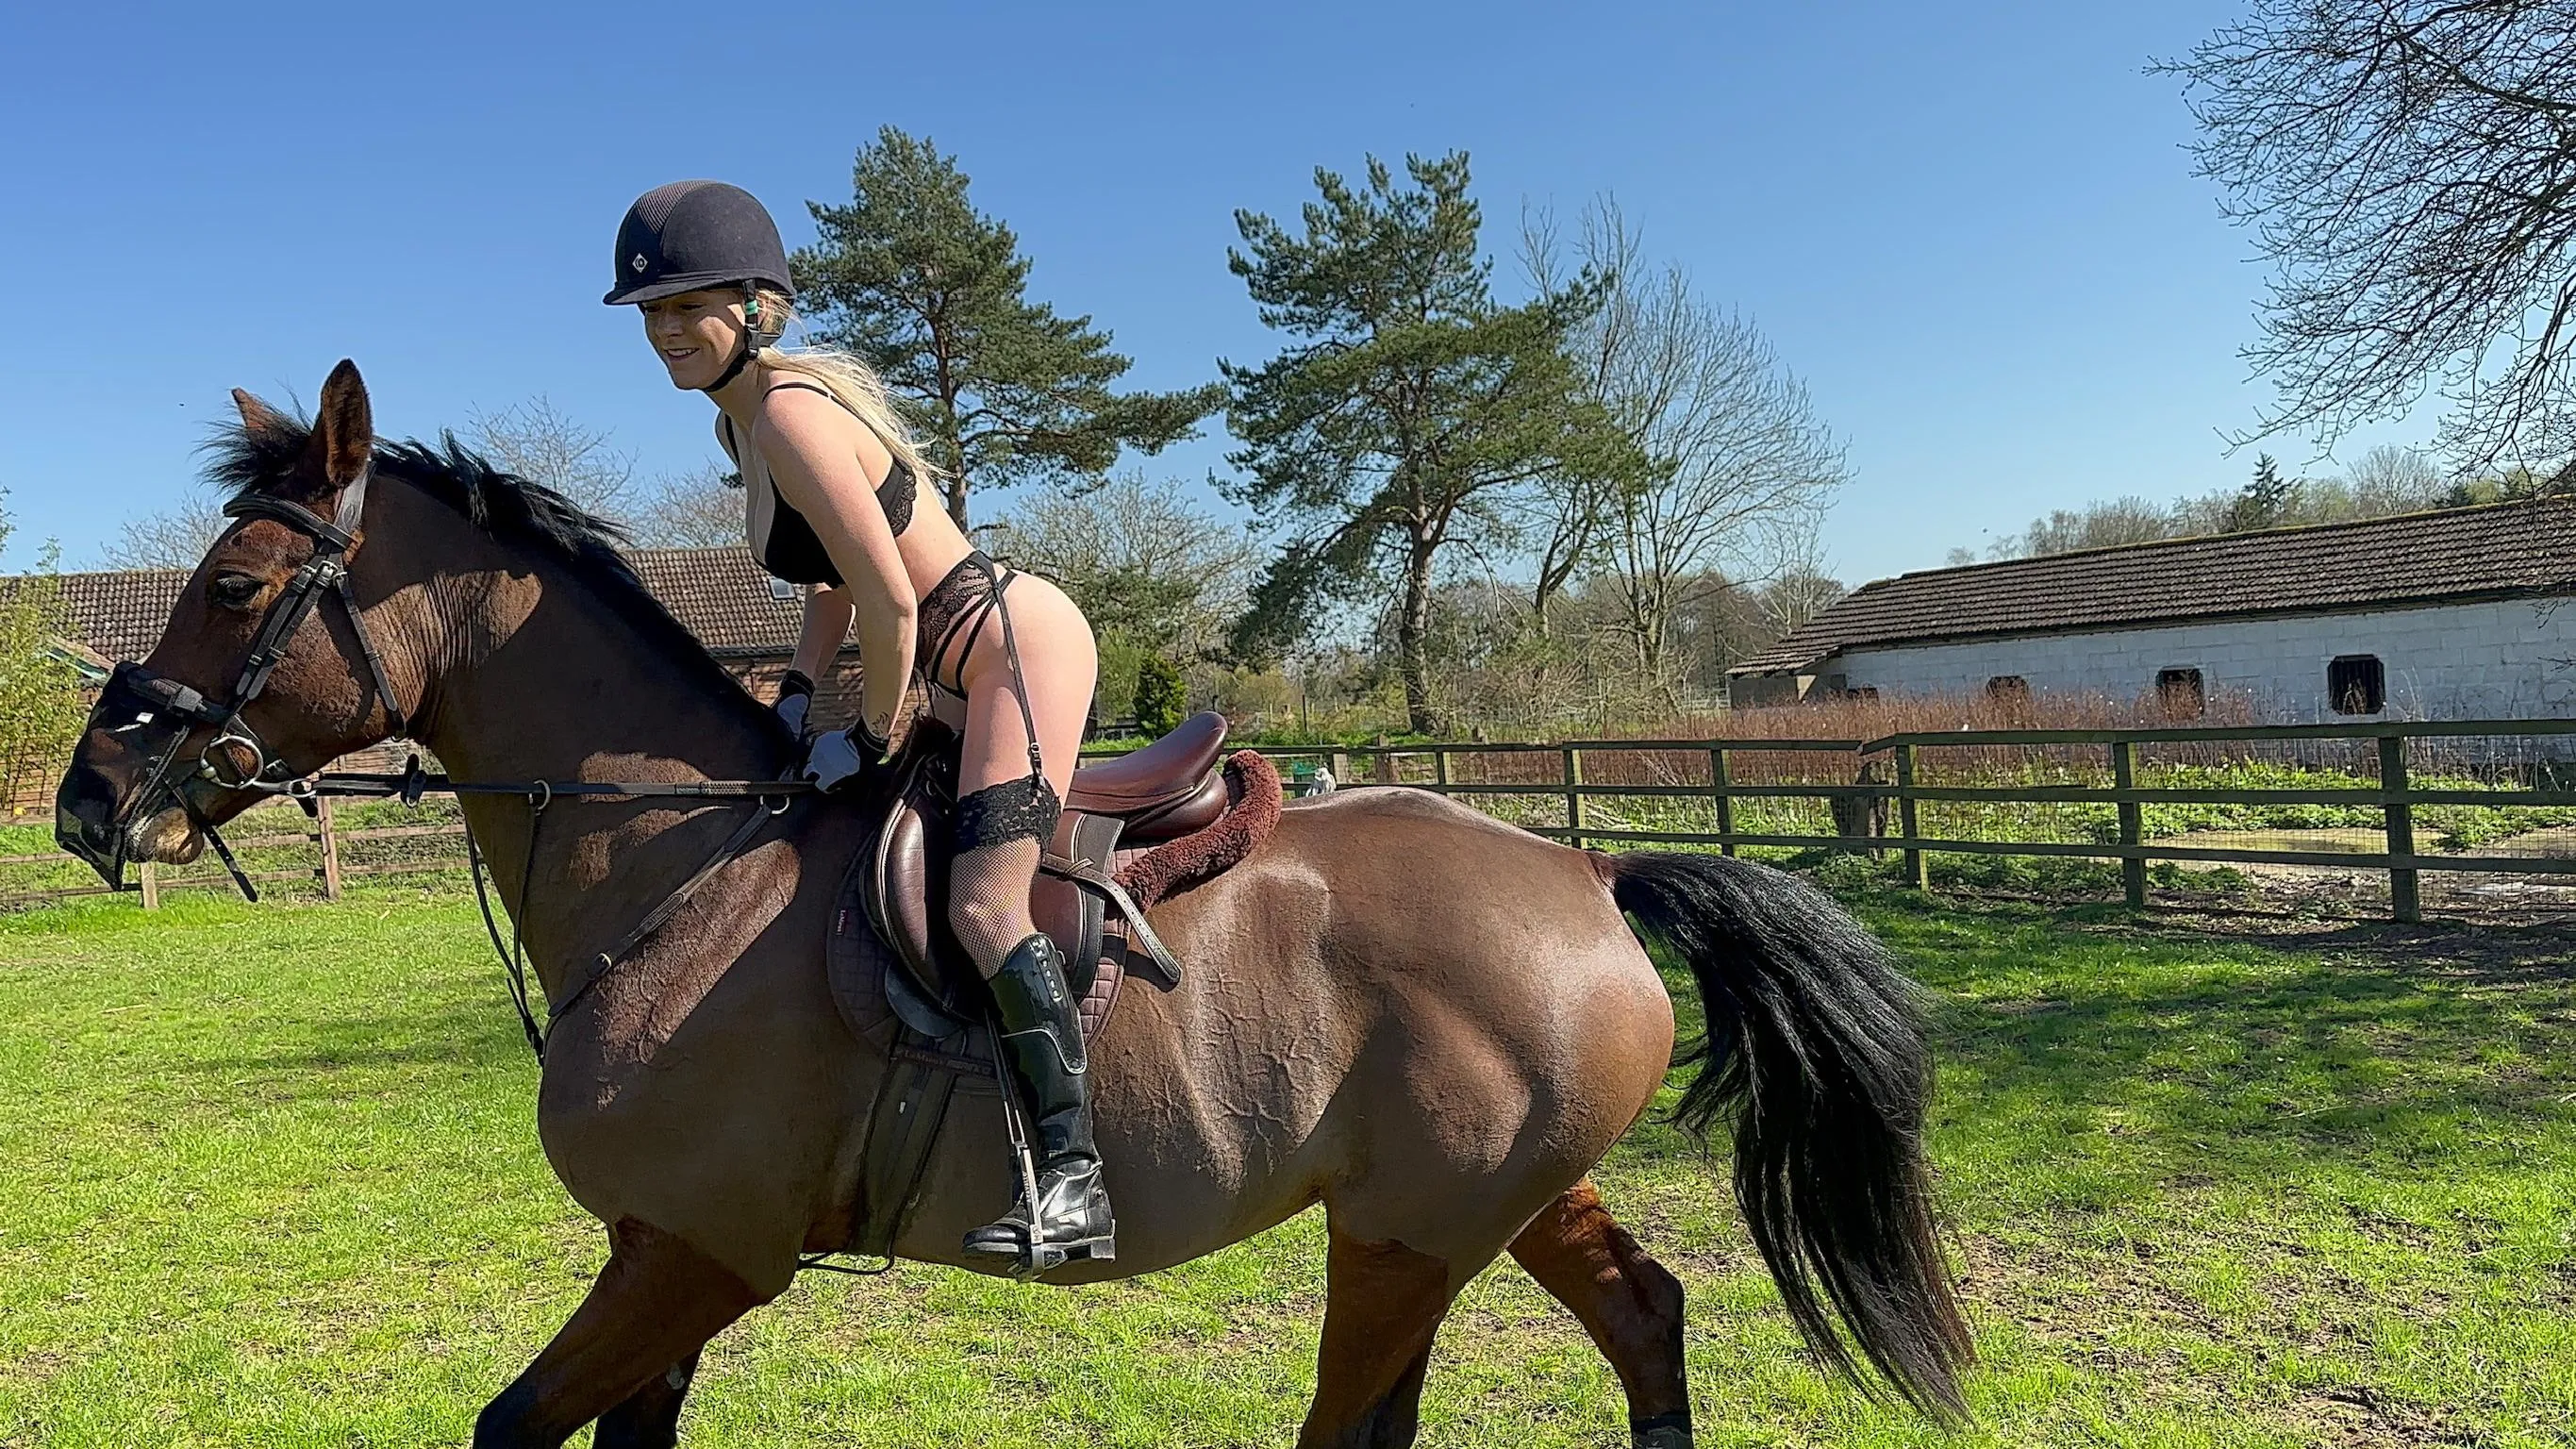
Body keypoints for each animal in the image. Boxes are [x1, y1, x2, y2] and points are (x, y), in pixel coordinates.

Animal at [55, 362, 1970, 1448]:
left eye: (237, 585)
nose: (83, 804)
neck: (676, 865)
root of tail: (1580, 868)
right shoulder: (657, 1257)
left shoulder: (697, 1253)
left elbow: (513, 1427)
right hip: (1479, 1204)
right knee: (1639, 1319)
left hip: (1412, 1232)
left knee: (1373, 1411)